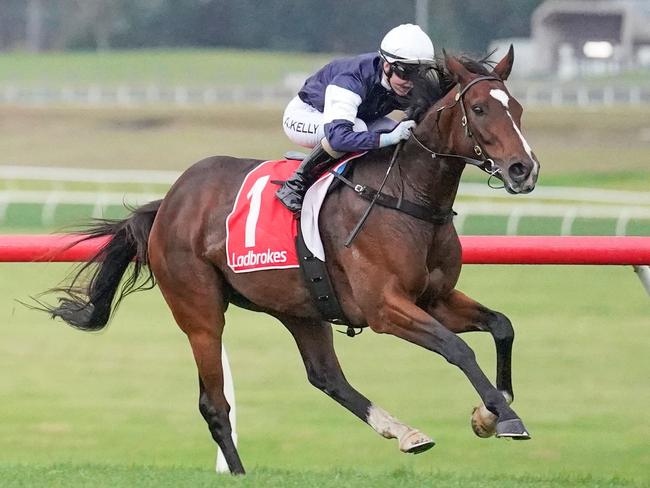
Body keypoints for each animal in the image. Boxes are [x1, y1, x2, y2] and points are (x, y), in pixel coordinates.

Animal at [38, 47, 540, 474]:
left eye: (516, 109)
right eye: (480, 109)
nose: (524, 169)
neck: (407, 198)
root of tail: (168, 203)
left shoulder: (434, 297)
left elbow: (502, 325)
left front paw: (490, 411)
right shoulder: (385, 308)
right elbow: (457, 348)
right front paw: (505, 417)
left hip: (301, 306)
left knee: (327, 376)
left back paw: (403, 432)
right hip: (199, 310)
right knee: (215, 403)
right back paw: (240, 473)